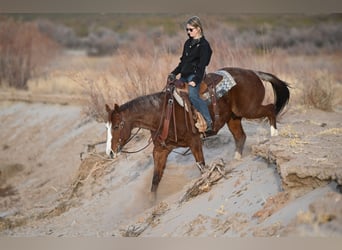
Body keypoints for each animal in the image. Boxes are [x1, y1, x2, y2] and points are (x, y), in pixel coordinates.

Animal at [105, 67, 290, 194]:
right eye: (106, 127)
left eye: (116, 126)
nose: (110, 153)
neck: (162, 113)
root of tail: (254, 73)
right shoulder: (160, 150)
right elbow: (155, 181)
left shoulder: (194, 142)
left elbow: (202, 166)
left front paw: (206, 183)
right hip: (234, 117)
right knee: (241, 137)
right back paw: (236, 159)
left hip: (249, 109)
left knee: (270, 109)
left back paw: (274, 135)